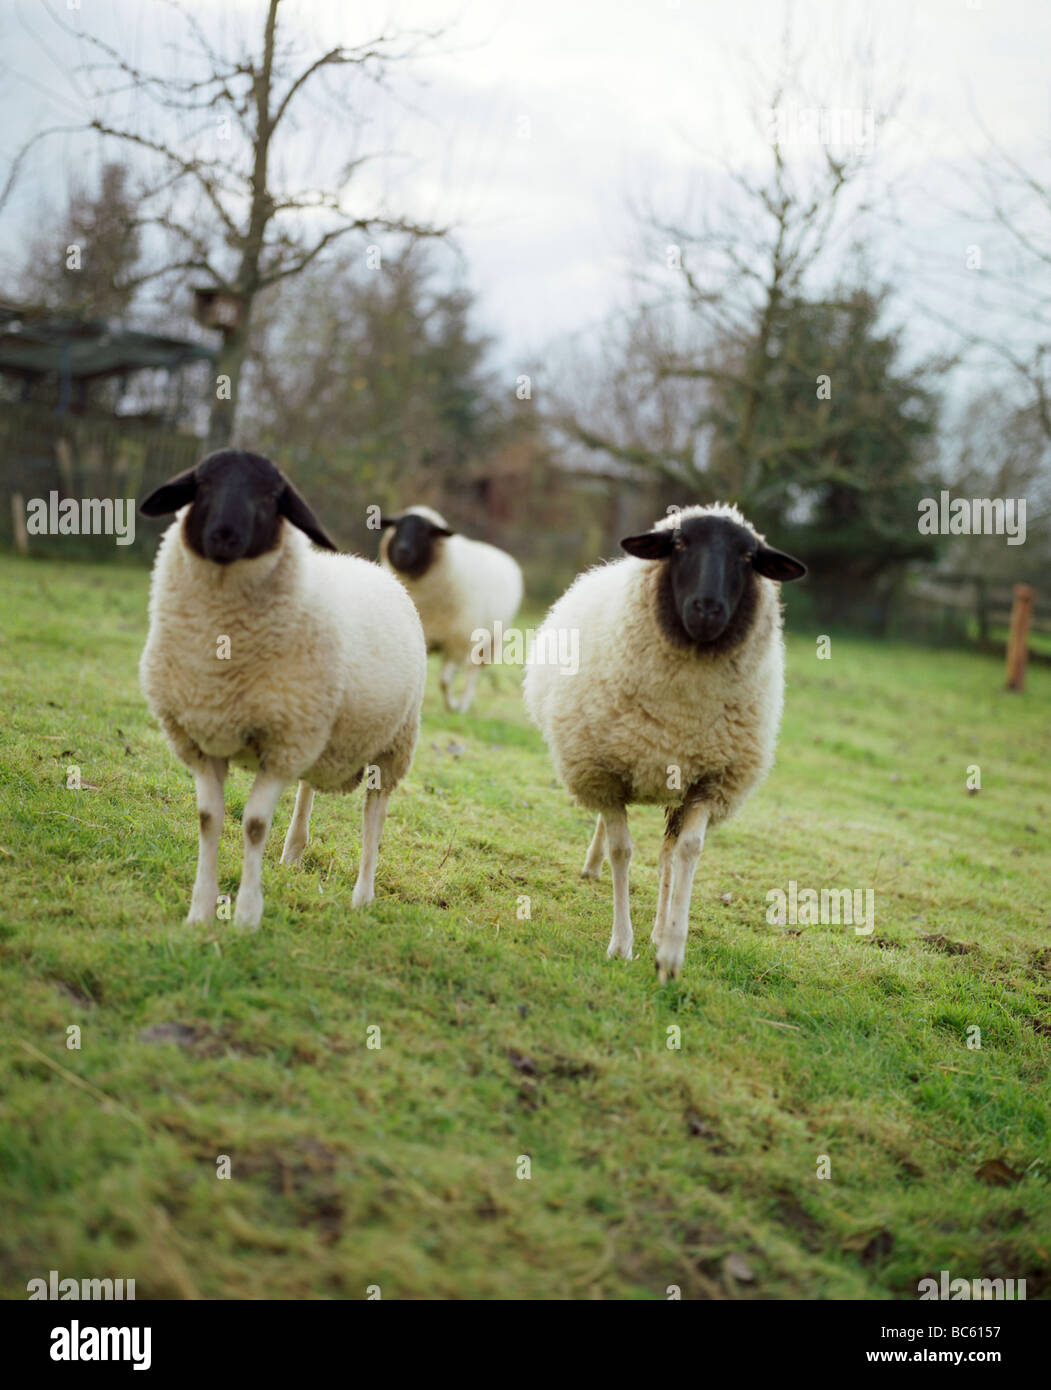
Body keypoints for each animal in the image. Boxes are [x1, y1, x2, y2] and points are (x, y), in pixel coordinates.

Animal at [138, 449, 427, 929]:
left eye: (271, 496)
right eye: (203, 484)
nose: (224, 535)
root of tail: (371, 566)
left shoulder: (282, 745)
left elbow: (254, 825)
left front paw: (246, 917)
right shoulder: (202, 740)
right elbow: (208, 819)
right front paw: (200, 914)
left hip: (391, 745)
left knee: (375, 814)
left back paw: (362, 895)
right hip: (322, 733)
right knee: (309, 787)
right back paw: (293, 851)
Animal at [378, 506, 523, 713]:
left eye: (424, 531)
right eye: (397, 527)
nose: (402, 551)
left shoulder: (456, 643)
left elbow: (444, 682)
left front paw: (452, 706)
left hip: (488, 641)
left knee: (471, 673)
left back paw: (462, 704)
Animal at [523, 502, 806, 982]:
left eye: (748, 557)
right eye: (680, 544)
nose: (707, 609)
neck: (681, 716)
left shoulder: (708, 782)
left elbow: (687, 852)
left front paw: (671, 952)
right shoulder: (606, 774)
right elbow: (621, 850)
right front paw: (621, 944)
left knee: (667, 853)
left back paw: (658, 927)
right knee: (612, 834)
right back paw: (593, 868)